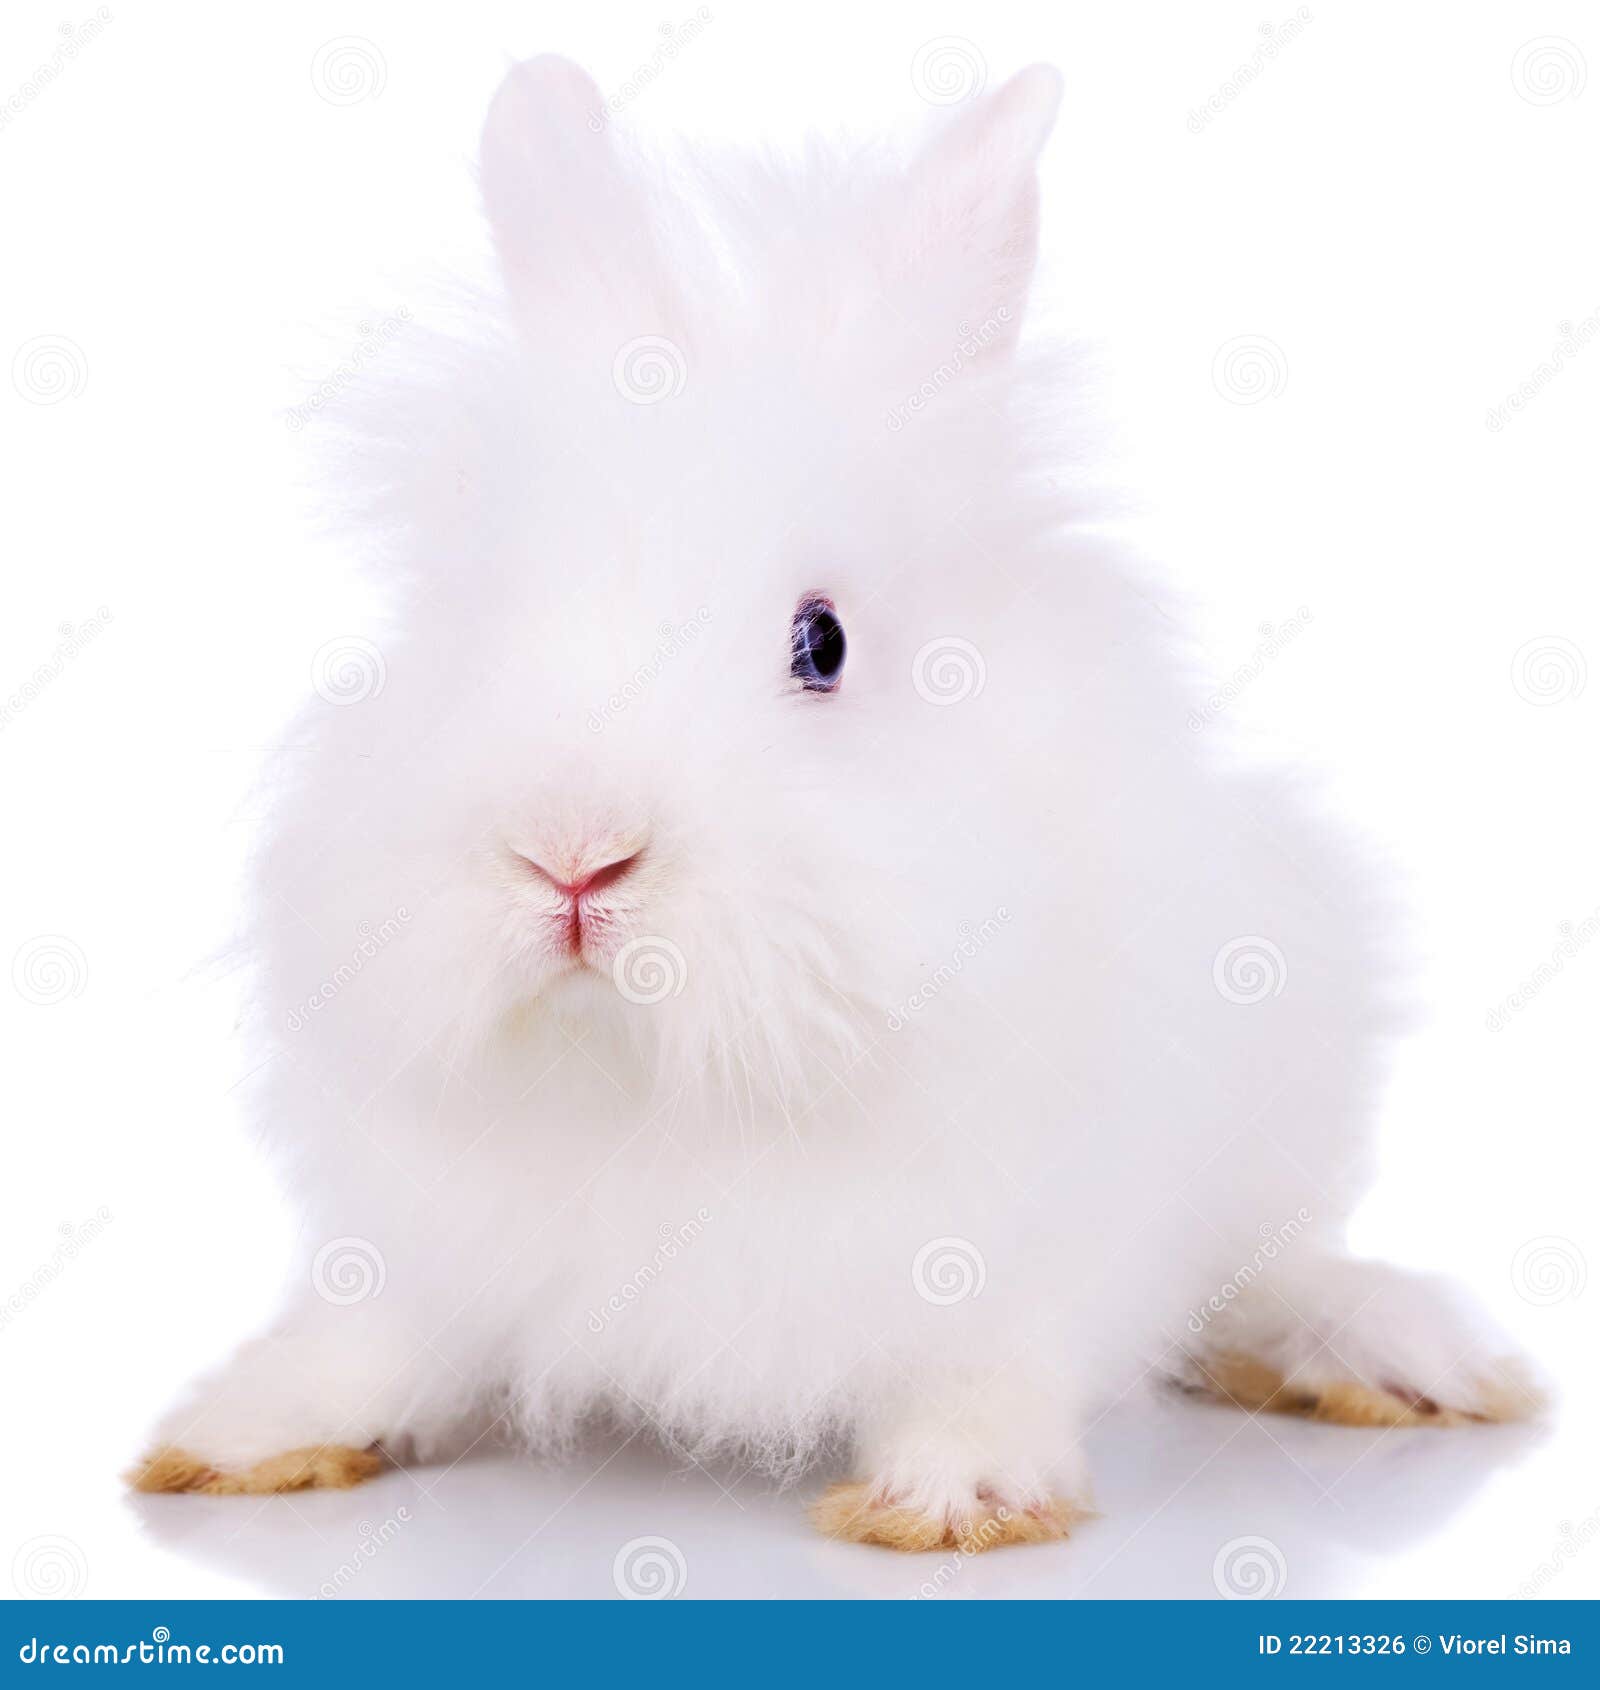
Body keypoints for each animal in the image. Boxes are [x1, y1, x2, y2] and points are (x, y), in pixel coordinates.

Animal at [130, 55, 1538, 1552]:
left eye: (823, 643)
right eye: (476, 620)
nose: (571, 858)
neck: (665, 1091)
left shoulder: (1032, 1221)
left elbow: (991, 1358)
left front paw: (951, 1498)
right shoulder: (430, 1240)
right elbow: (384, 1340)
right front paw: (239, 1441)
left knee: (1265, 1272)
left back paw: (1401, 1361)